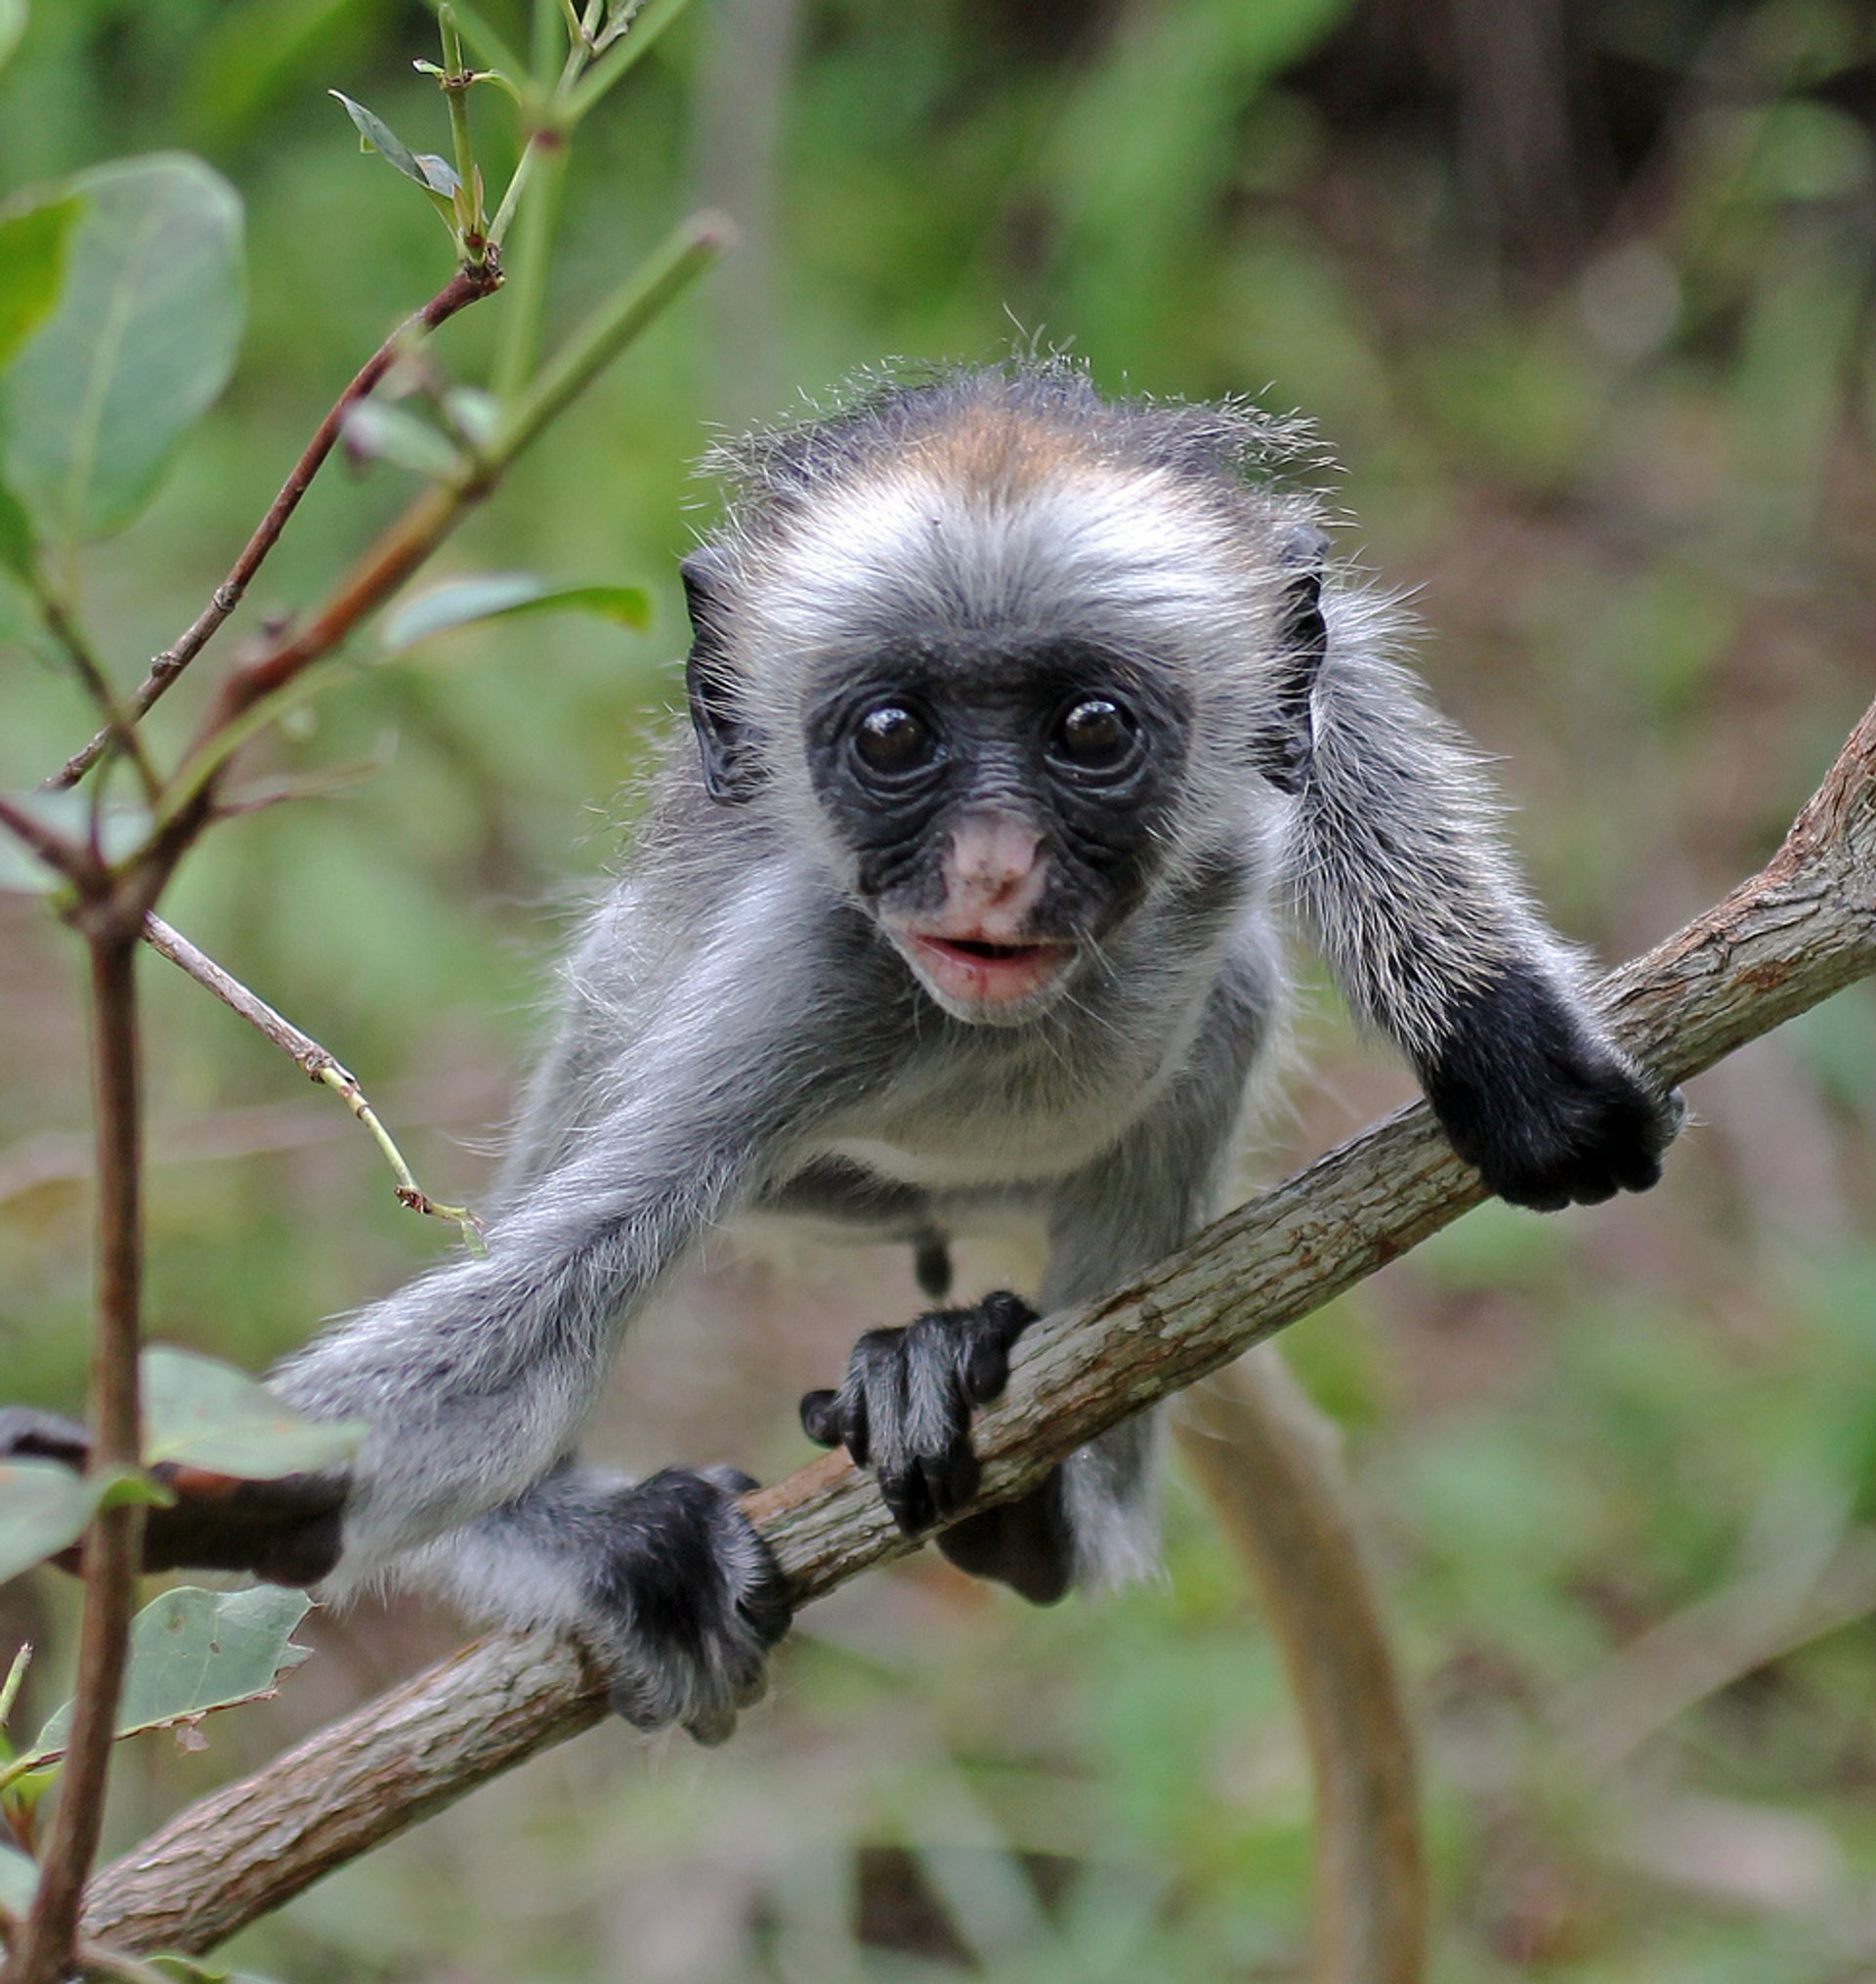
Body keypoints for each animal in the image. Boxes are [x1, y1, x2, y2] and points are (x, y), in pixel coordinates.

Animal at [0, 368, 1667, 1738]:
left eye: (1088, 729)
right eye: (892, 734)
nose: (991, 871)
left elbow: (1337, 695)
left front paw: (1497, 1033)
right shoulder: (801, 985)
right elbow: (540, 1314)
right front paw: (214, 1493)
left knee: (1229, 999)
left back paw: (1040, 1488)